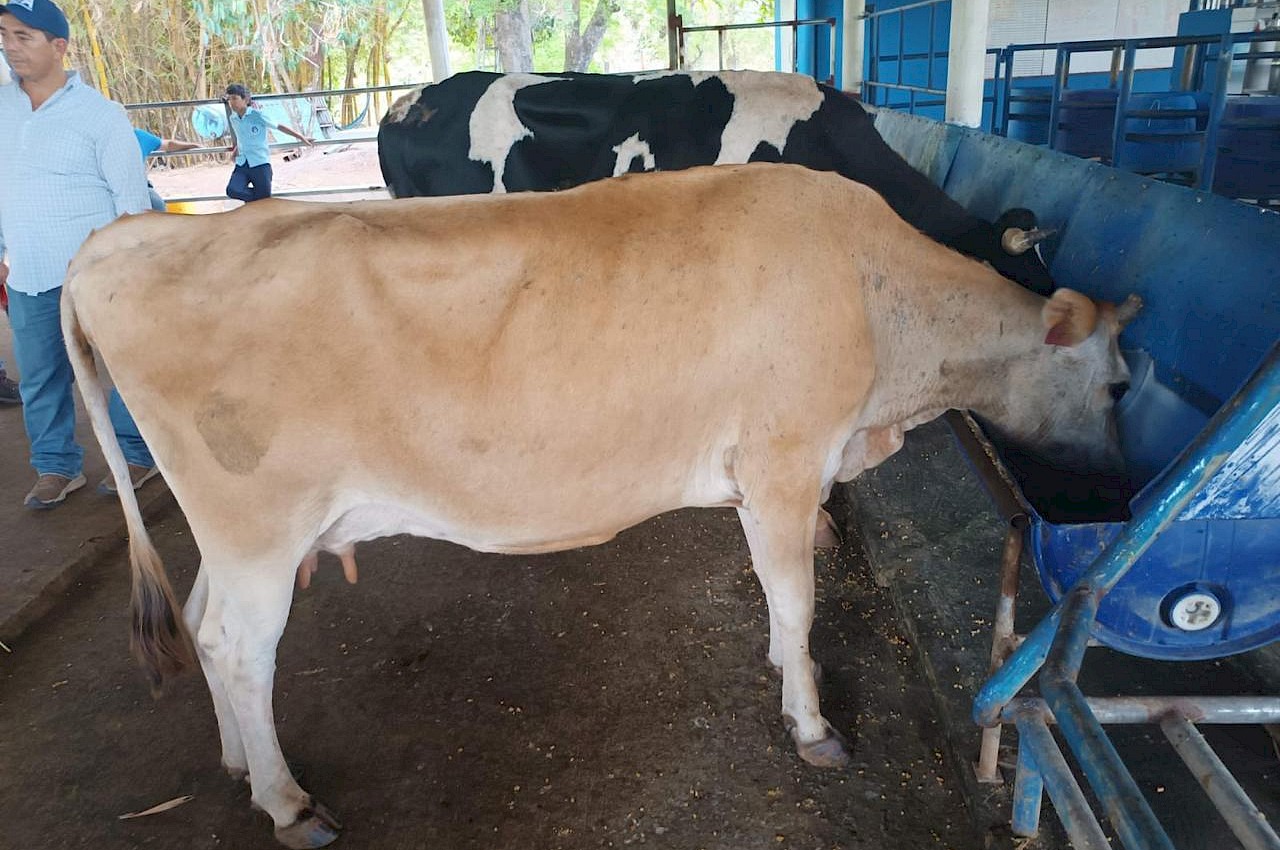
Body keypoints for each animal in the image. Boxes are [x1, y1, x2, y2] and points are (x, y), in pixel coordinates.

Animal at [64, 164, 1136, 848]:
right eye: (1124, 385)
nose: (1121, 496)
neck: (879, 299)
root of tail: (122, 240)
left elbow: (777, 598)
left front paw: (784, 673)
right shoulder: (787, 460)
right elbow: (798, 598)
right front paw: (813, 723)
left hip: (240, 538)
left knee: (201, 624)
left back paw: (241, 768)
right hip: (258, 527)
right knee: (239, 648)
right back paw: (290, 804)